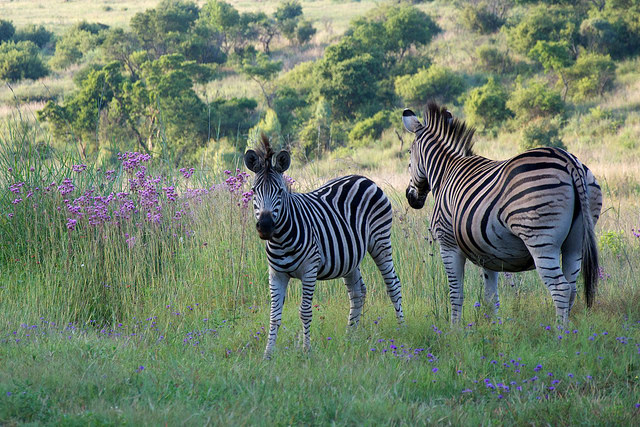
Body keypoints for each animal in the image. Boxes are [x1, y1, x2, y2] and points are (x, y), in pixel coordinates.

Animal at [244, 135, 404, 359]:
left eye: (280, 192)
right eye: (253, 191)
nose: (265, 226)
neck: (280, 239)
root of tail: (363, 178)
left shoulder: (309, 269)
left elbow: (304, 311)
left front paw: (306, 350)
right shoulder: (276, 273)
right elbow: (274, 315)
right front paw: (268, 354)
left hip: (380, 242)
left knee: (393, 285)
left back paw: (401, 330)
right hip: (350, 256)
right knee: (358, 292)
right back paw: (349, 337)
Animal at [402, 102, 602, 325]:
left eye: (409, 154)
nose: (411, 198)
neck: (445, 171)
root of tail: (569, 160)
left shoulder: (448, 244)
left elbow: (456, 293)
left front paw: (455, 329)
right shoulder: (487, 253)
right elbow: (491, 298)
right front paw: (493, 329)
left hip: (541, 239)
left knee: (561, 288)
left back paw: (559, 332)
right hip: (576, 242)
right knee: (572, 288)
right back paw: (568, 330)